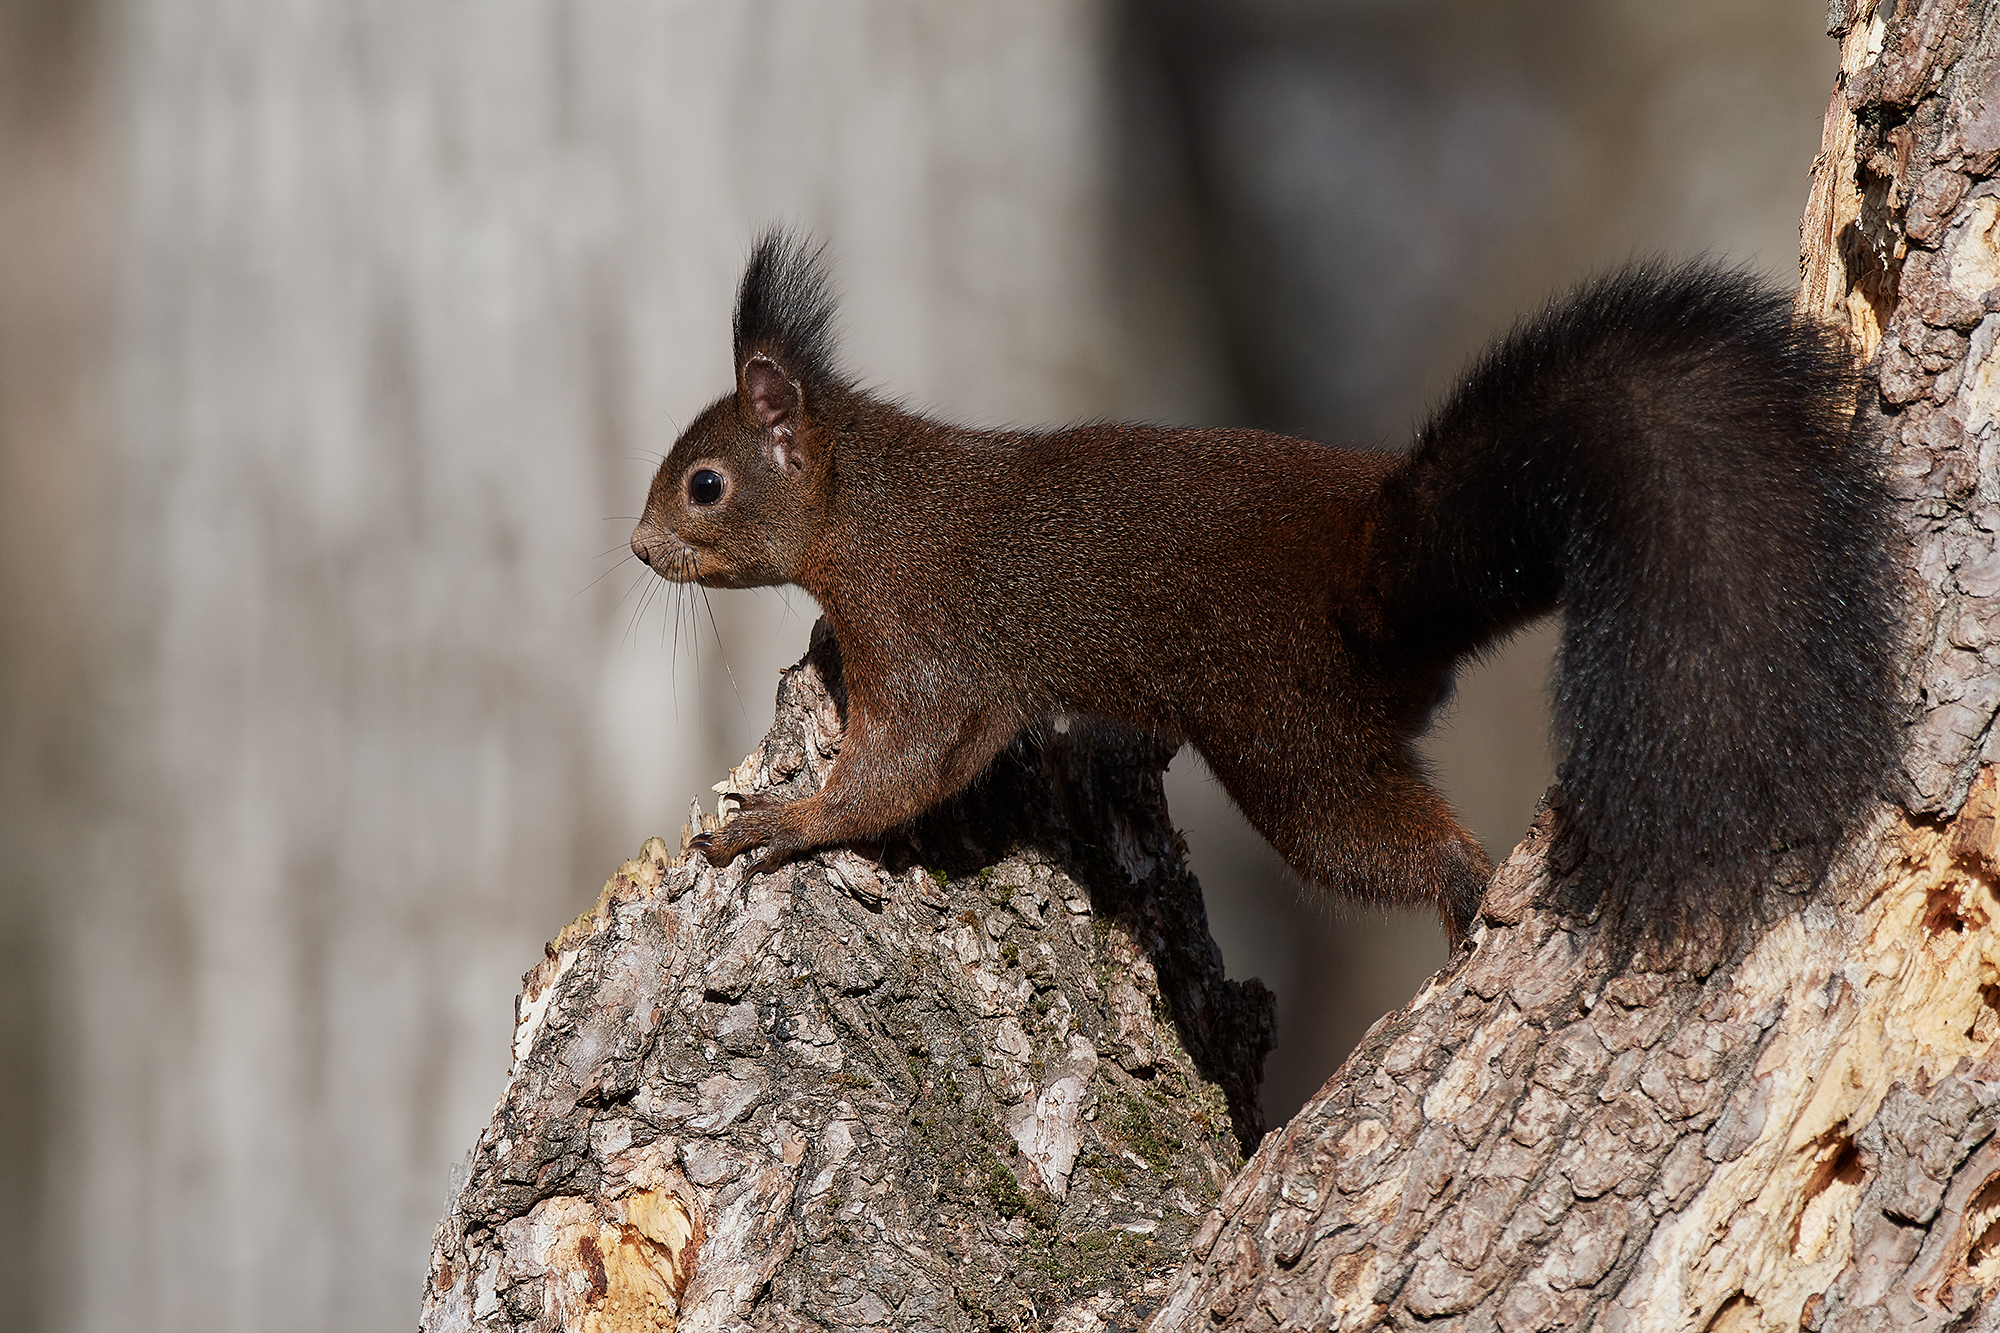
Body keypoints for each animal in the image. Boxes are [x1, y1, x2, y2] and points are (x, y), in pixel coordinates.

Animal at [630, 230, 1899, 947]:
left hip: (1287, 741)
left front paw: (783, 824)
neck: (866, 507)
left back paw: (1461, 903)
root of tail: (1371, 559)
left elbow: (908, 765)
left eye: (704, 484)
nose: (639, 548)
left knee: (1411, 849)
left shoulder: (924, 637)